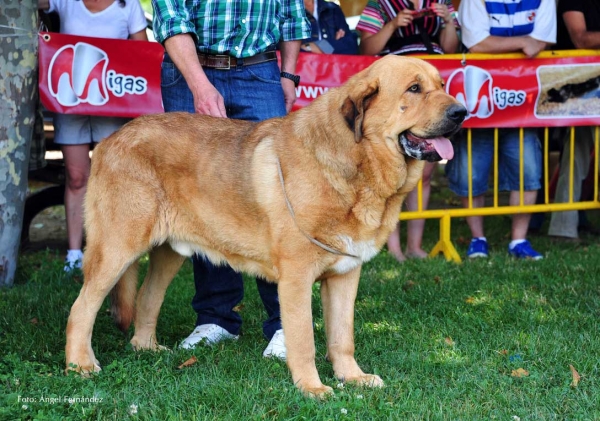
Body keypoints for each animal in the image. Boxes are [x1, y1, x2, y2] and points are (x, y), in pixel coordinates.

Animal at [67, 55, 468, 398]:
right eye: (413, 89)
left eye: (441, 84)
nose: (462, 112)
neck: (357, 165)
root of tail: (112, 138)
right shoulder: (296, 279)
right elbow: (304, 339)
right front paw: (312, 388)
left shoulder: (345, 275)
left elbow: (343, 337)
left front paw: (352, 378)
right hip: (117, 249)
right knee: (81, 308)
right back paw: (80, 365)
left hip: (169, 253)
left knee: (147, 299)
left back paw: (147, 348)